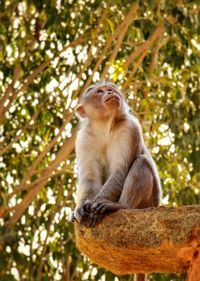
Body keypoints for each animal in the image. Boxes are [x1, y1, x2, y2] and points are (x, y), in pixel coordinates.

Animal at [72, 80, 162, 226]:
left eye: (110, 89)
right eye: (99, 92)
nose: (110, 92)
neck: (104, 125)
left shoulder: (129, 128)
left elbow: (120, 170)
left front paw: (95, 208)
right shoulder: (83, 139)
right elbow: (90, 178)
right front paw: (81, 208)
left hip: (149, 202)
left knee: (141, 162)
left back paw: (122, 205)